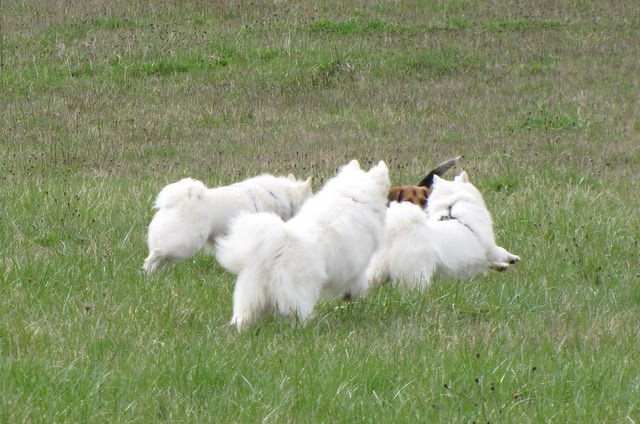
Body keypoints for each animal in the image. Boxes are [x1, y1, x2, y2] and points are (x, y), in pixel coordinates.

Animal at [216, 160, 390, 331]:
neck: (351, 196)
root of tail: (277, 245)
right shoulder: (355, 263)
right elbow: (358, 281)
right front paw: (350, 294)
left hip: (251, 297)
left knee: (242, 318)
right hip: (300, 295)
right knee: (298, 317)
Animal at [367, 171, 520, 289]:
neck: (452, 207)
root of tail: (395, 232)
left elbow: (486, 262)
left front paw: (500, 266)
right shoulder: (488, 245)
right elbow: (500, 251)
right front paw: (512, 258)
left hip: (376, 272)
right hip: (418, 274)